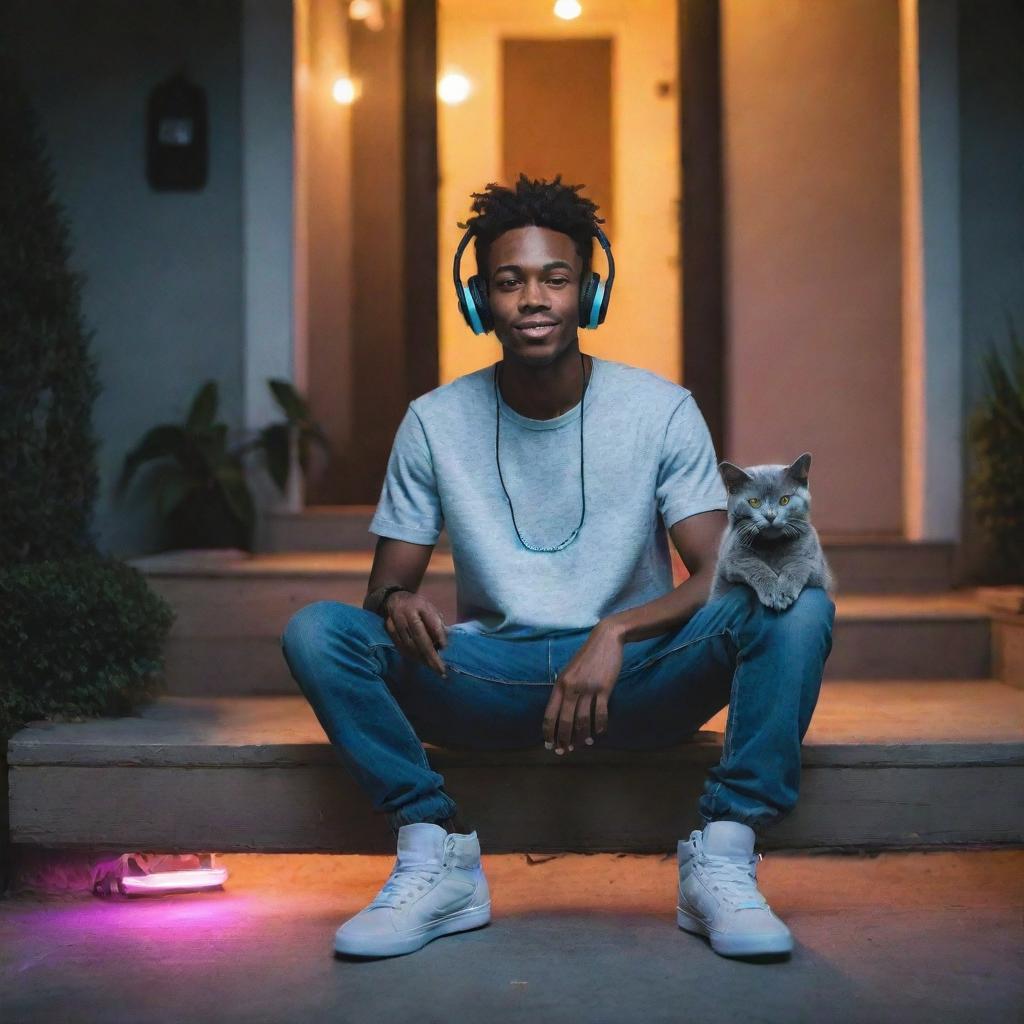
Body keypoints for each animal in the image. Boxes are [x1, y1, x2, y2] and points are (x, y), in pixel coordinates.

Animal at [708, 454, 835, 610]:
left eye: (785, 500)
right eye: (754, 502)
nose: (770, 516)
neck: (772, 545)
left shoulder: (816, 565)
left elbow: (798, 564)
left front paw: (783, 592)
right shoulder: (732, 559)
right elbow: (755, 565)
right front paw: (773, 592)